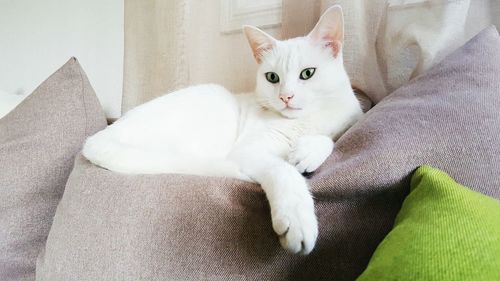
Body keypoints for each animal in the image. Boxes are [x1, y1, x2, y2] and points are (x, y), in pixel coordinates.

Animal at [84, 6, 362, 254]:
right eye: (272, 77)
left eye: (307, 73)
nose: (286, 96)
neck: (303, 121)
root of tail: (98, 138)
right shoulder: (249, 151)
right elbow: (284, 170)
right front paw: (297, 218)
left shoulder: (350, 118)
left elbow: (329, 138)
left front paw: (307, 150)